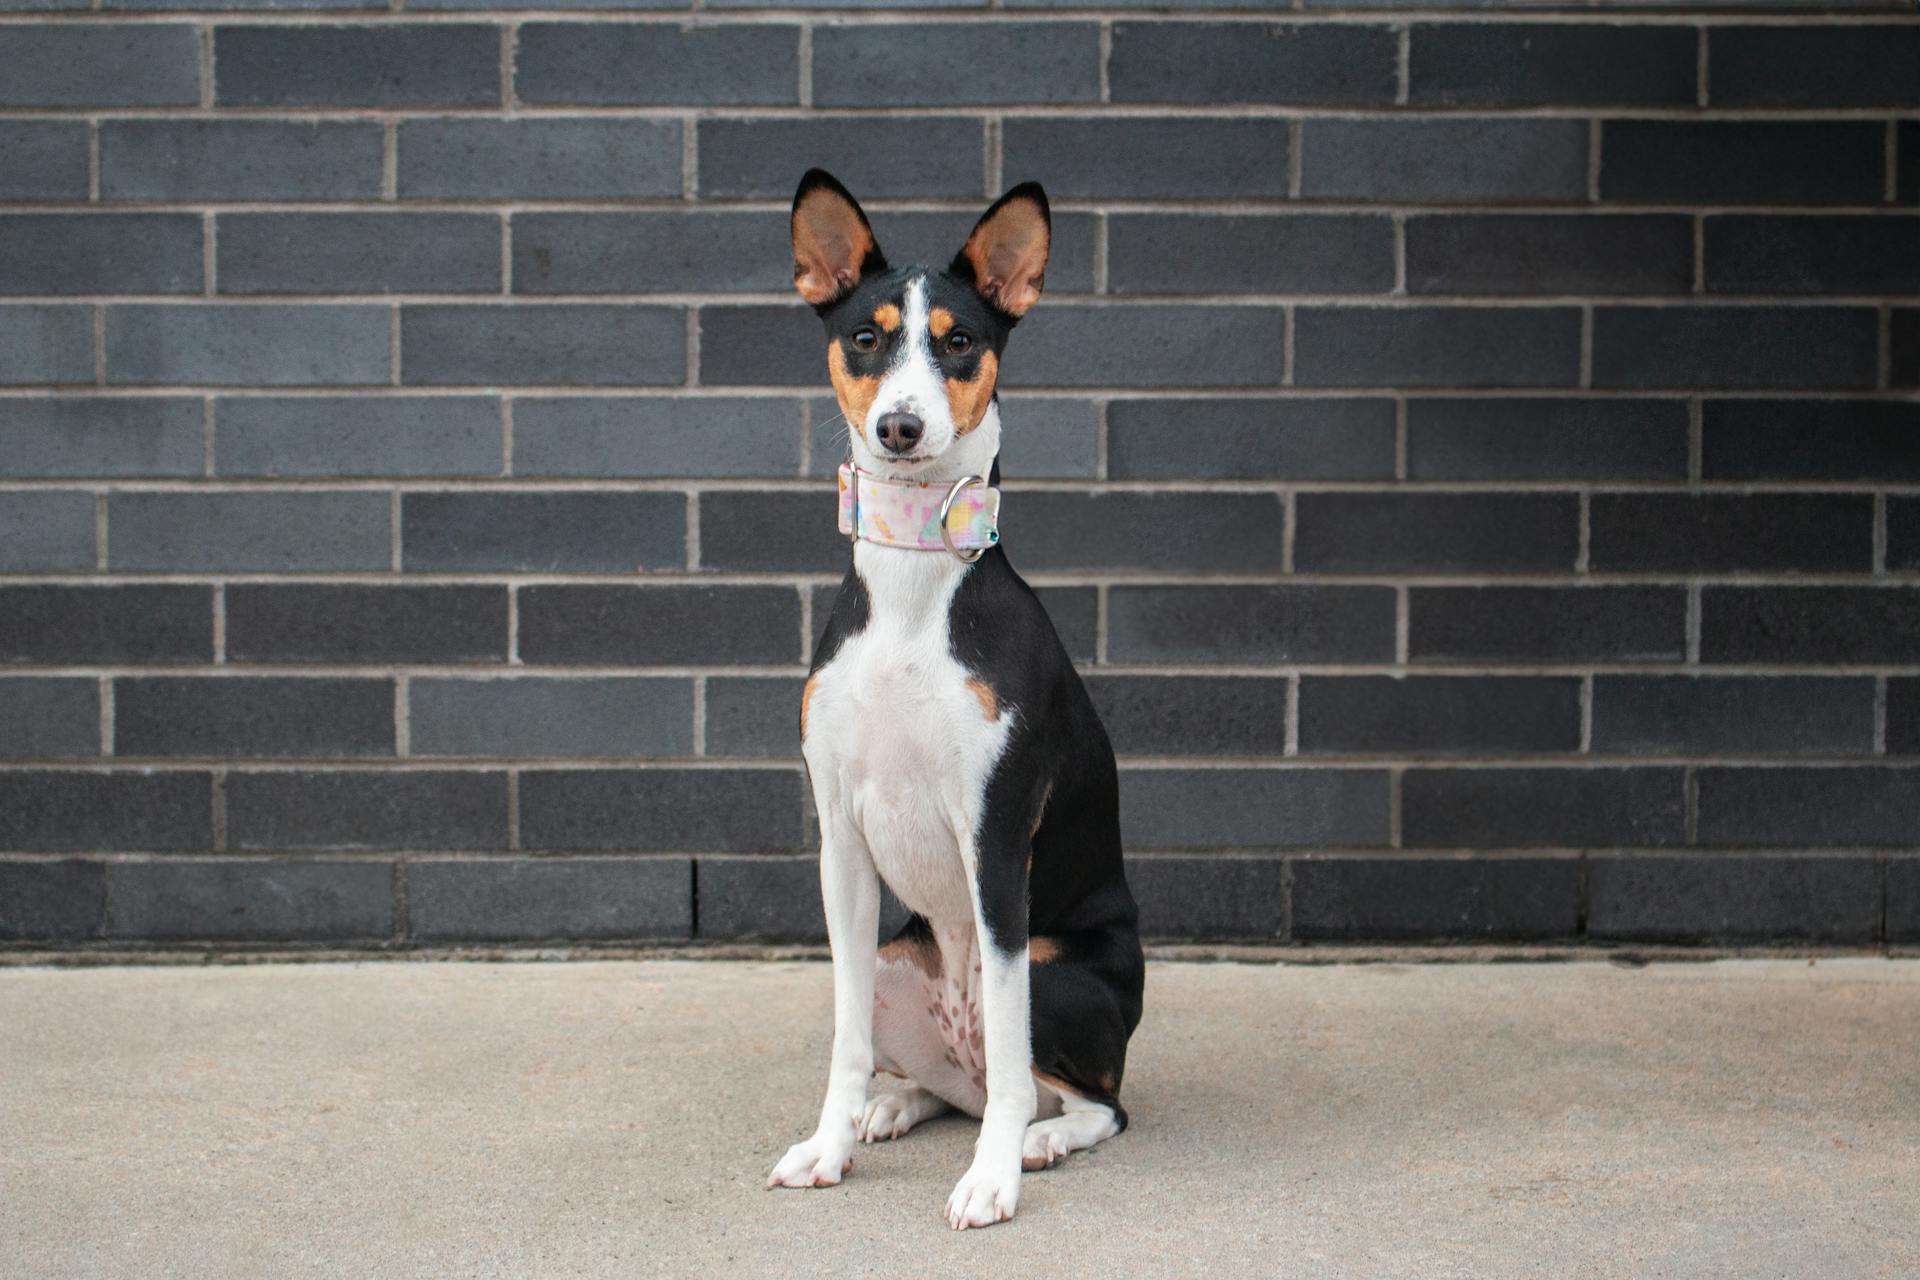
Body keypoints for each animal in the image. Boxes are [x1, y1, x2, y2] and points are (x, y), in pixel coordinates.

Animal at [768, 165, 1136, 1228]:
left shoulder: (996, 838)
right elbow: (844, 1039)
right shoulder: (842, 843)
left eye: (960, 342)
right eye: (867, 336)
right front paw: (830, 1145)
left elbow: (1011, 1055)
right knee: (956, 1082)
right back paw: (897, 1108)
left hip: (1059, 969)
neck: (911, 585)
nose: (900, 427)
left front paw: (992, 1178)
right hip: (902, 960)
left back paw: (1039, 1139)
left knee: (1077, 1095)